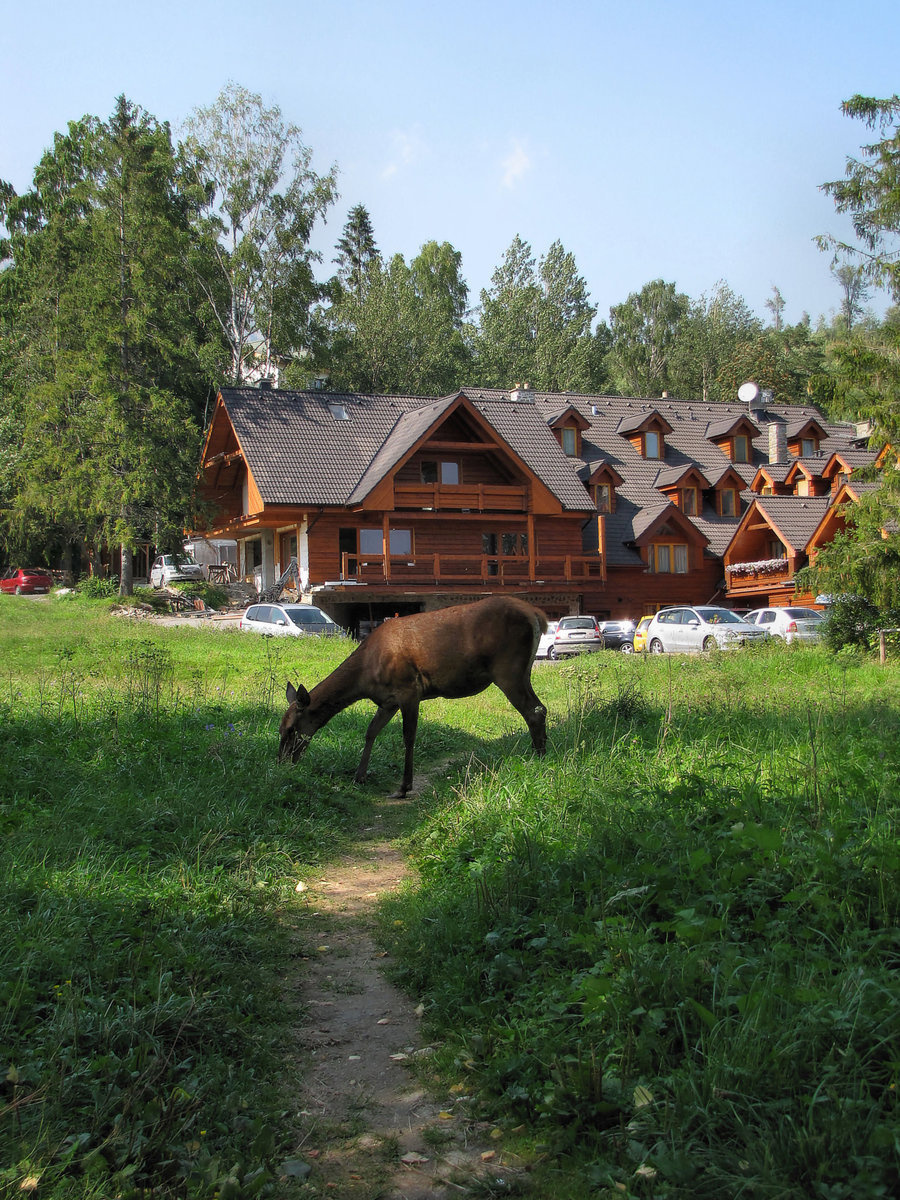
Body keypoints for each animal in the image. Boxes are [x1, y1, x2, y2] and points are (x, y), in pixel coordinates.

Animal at [280, 592, 549, 796]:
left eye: (292, 729)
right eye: (280, 728)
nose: (282, 762)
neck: (365, 676)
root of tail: (537, 615)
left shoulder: (408, 689)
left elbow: (408, 736)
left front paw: (404, 786)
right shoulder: (387, 701)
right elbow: (371, 731)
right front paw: (359, 776)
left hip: (508, 669)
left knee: (533, 711)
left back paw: (539, 758)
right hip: (522, 671)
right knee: (540, 708)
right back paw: (540, 753)